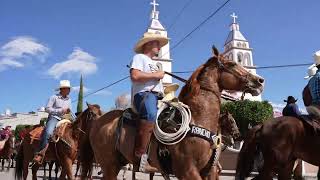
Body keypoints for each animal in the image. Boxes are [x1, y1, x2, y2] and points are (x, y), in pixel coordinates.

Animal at [79, 47, 262, 179]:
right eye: (231, 64)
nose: (259, 81)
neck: (197, 119)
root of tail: (99, 121)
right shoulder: (188, 171)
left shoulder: (209, 171)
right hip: (108, 164)